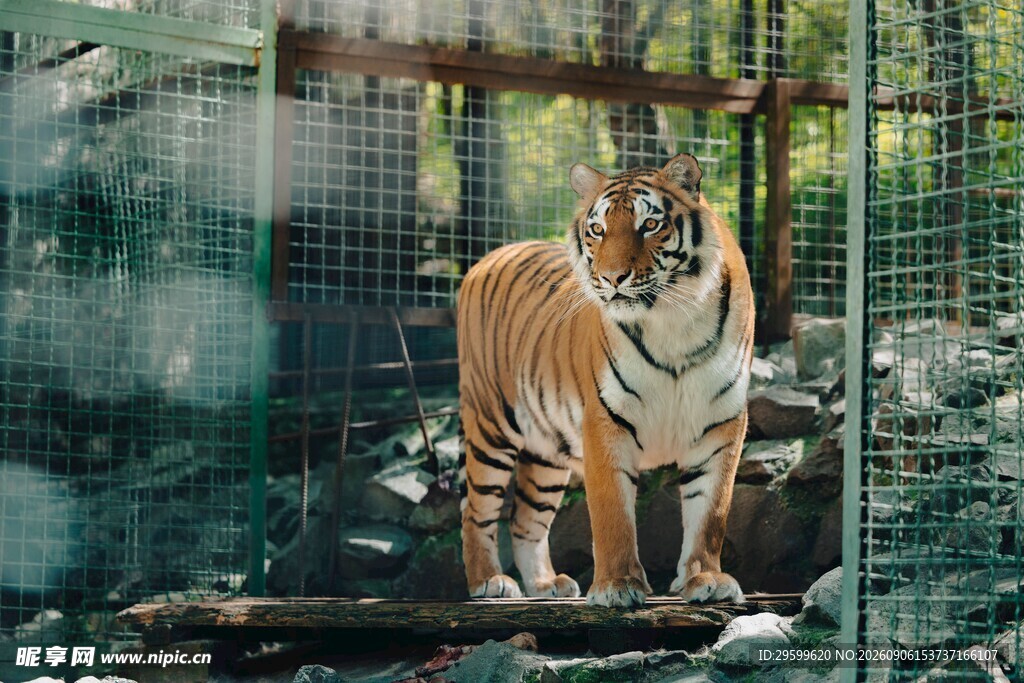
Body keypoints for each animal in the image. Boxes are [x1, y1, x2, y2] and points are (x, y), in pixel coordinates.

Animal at [456, 153, 754, 607]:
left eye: (650, 224)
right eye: (598, 229)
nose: (613, 278)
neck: (674, 321)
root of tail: (492, 255)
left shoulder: (721, 423)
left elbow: (711, 512)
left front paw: (707, 579)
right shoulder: (605, 420)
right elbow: (612, 514)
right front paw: (617, 586)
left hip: (546, 452)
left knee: (525, 519)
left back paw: (544, 584)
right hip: (491, 425)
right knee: (475, 511)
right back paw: (490, 582)